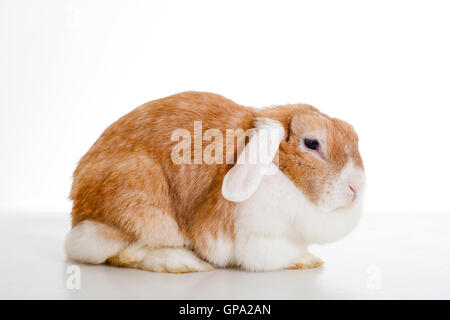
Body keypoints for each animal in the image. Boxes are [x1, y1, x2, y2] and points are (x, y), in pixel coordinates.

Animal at [65, 90, 364, 272]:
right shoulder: (261, 239)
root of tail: (78, 212)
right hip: (142, 201)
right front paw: (306, 259)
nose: (357, 186)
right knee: (120, 251)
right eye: (312, 143)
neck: (282, 176)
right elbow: (276, 256)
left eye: (353, 136)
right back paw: (184, 262)